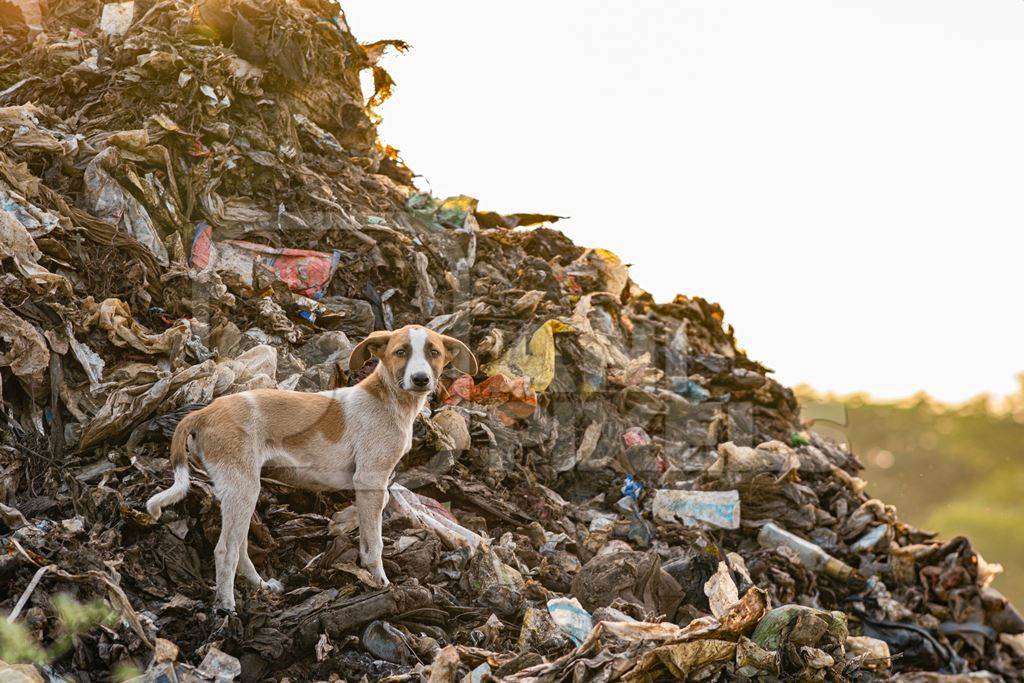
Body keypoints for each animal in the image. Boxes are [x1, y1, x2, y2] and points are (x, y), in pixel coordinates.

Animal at [146, 323, 477, 610]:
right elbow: (375, 545)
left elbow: (364, 537)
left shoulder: (373, 489)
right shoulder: (370, 482)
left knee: (239, 548)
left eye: (434, 352)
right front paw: (381, 583)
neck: (388, 400)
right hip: (243, 489)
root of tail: (205, 412)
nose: (421, 379)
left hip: (240, 491)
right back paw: (227, 607)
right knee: (226, 550)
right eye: (400, 352)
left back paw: (261, 586)